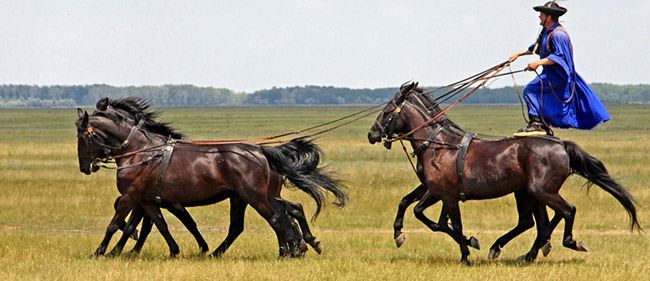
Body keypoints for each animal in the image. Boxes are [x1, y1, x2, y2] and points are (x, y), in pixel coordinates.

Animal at [76, 97, 344, 258]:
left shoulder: (132, 196)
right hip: (247, 197)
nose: (85, 167)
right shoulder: (149, 200)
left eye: (81, 136)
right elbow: (159, 224)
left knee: (277, 217)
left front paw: (100, 252)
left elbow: (116, 223)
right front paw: (174, 250)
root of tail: (260, 151)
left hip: (254, 196)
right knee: (279, 213)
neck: (142, 151)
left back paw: (284, 252)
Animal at [368, 81, 636, 264]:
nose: (372, 133)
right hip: (529, 193)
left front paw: (465, 253)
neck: (439, 145)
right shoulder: (434, 190)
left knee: (566, 211)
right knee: (536, 222)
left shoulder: (445, 194)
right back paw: (523, 252)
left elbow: (448, 223)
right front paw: (399, 233)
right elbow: (413, 207)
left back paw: (567, 242)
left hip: (540, 191)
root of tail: (560, 144)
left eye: (388, 110)